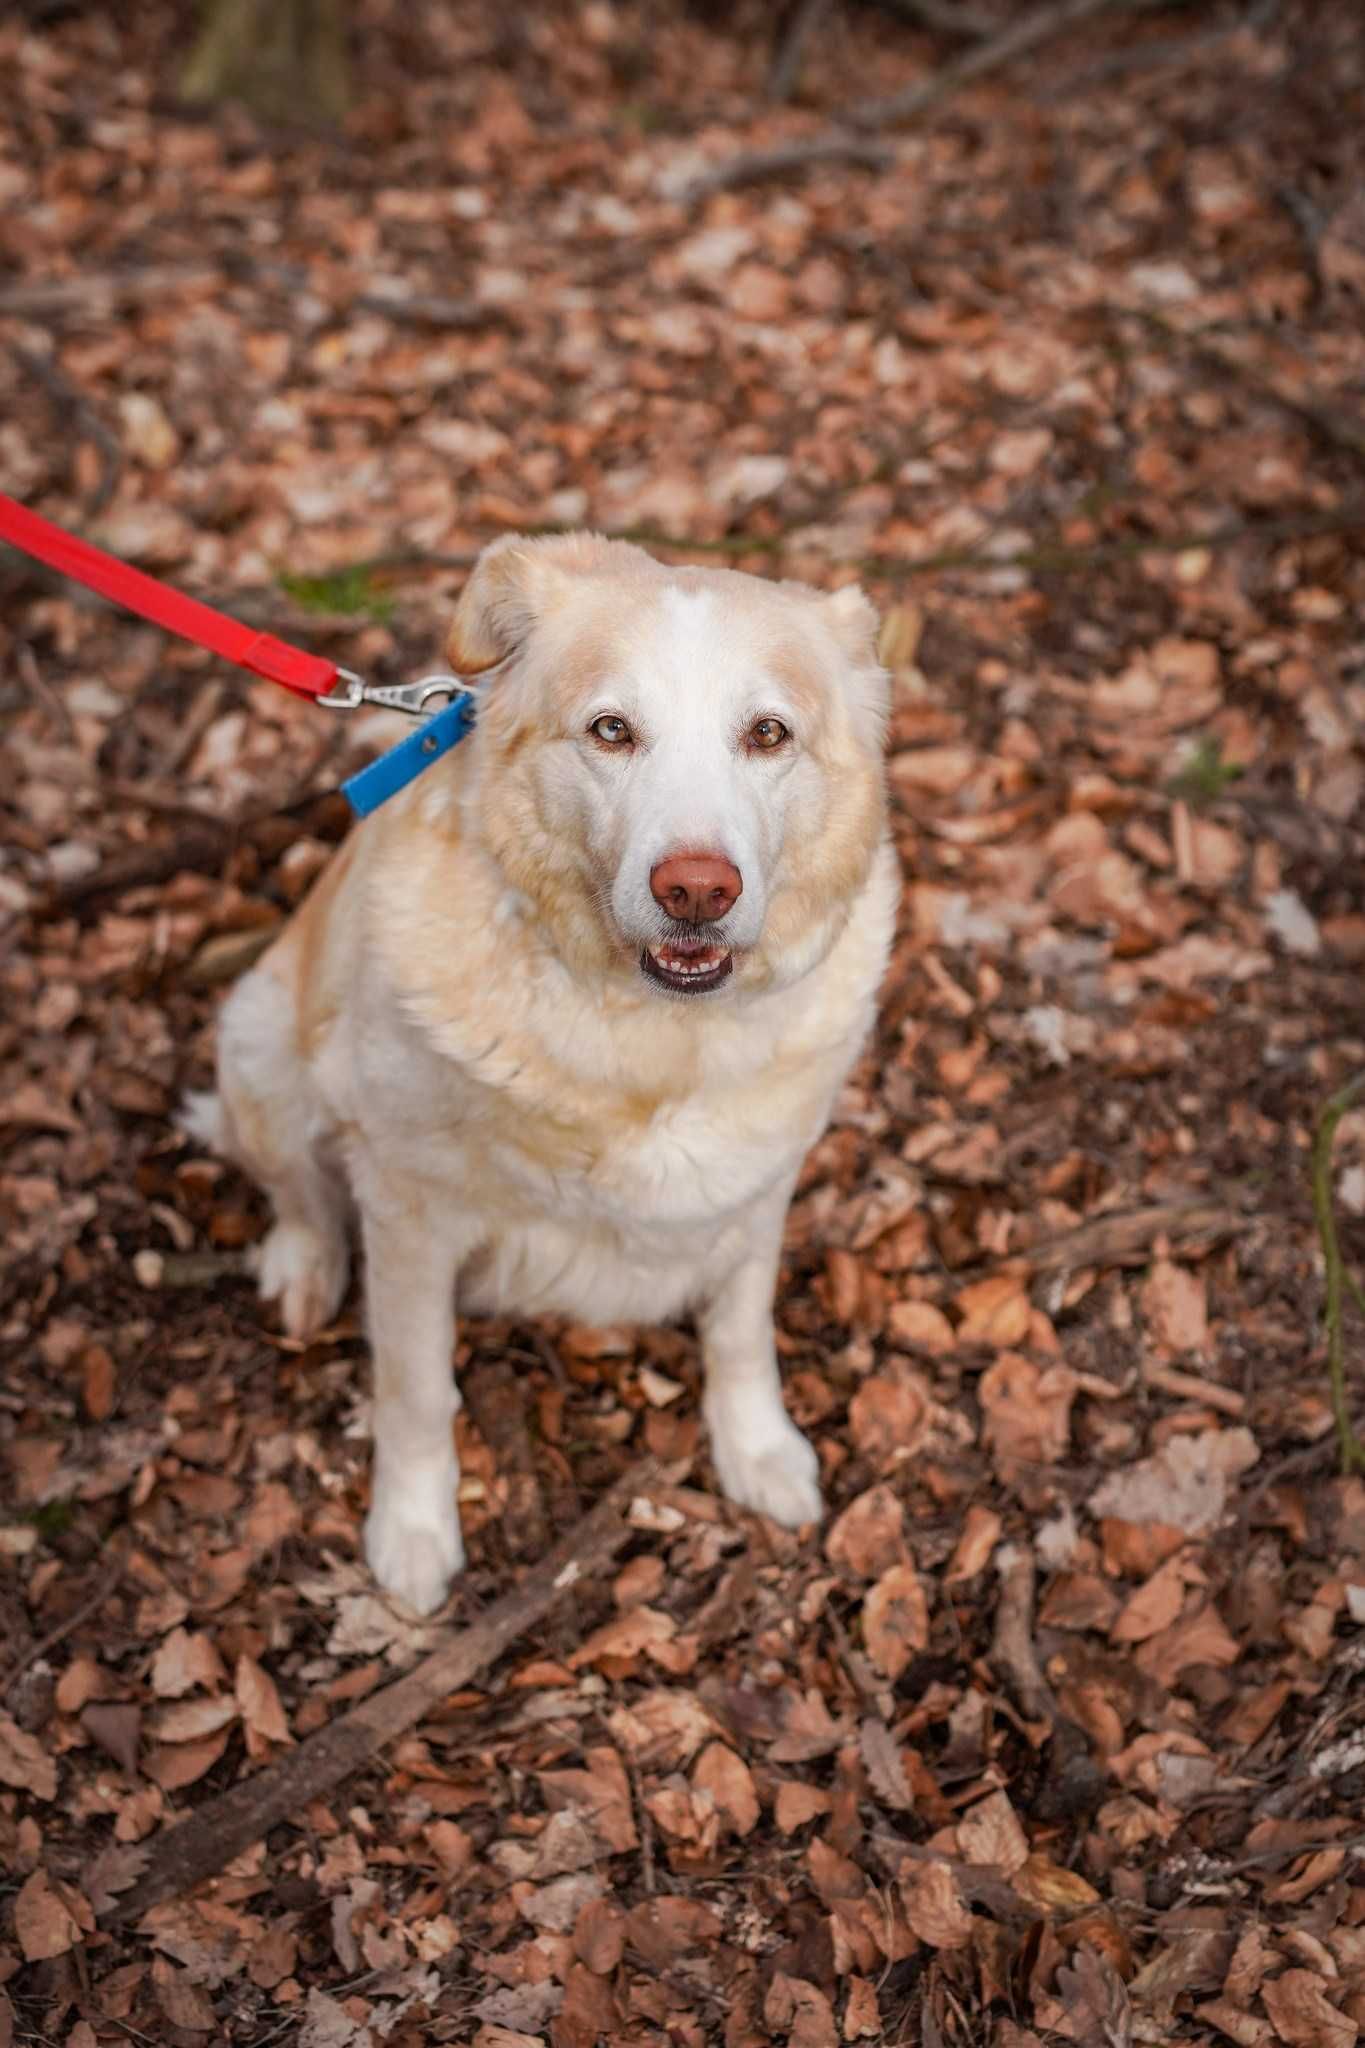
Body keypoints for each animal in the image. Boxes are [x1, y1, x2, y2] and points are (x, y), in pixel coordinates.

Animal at [189, 540, 896, 1613]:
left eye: (767, 734)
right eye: (611, 730)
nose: (696, 891)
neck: (649, 1039)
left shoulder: (761, 1187)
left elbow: (740, 1331)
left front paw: (757, 1451)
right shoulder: (408, 1214)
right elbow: (415, 1390)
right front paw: (412, 1532)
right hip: (262, 1037)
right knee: (299, 1193)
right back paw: (304, 1272)